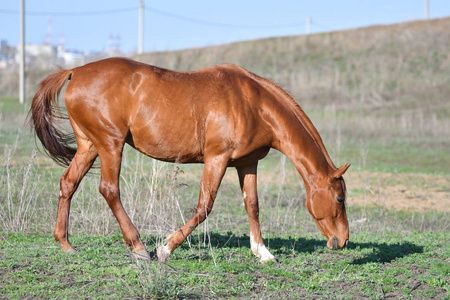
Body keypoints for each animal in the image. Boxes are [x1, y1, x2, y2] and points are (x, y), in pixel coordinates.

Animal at [29, 56, 350, 262]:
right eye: (339, 198)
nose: (344, 240)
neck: (254, 104)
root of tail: (76, 71)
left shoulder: (247, 163)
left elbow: (253, 206)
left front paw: (263, 252)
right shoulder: (217, 159)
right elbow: (204, 206)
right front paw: (165, 249)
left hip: (89, 146)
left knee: (68, 184)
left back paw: (66, 244)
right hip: (110, 145)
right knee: (109, 190)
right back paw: (138, 247)